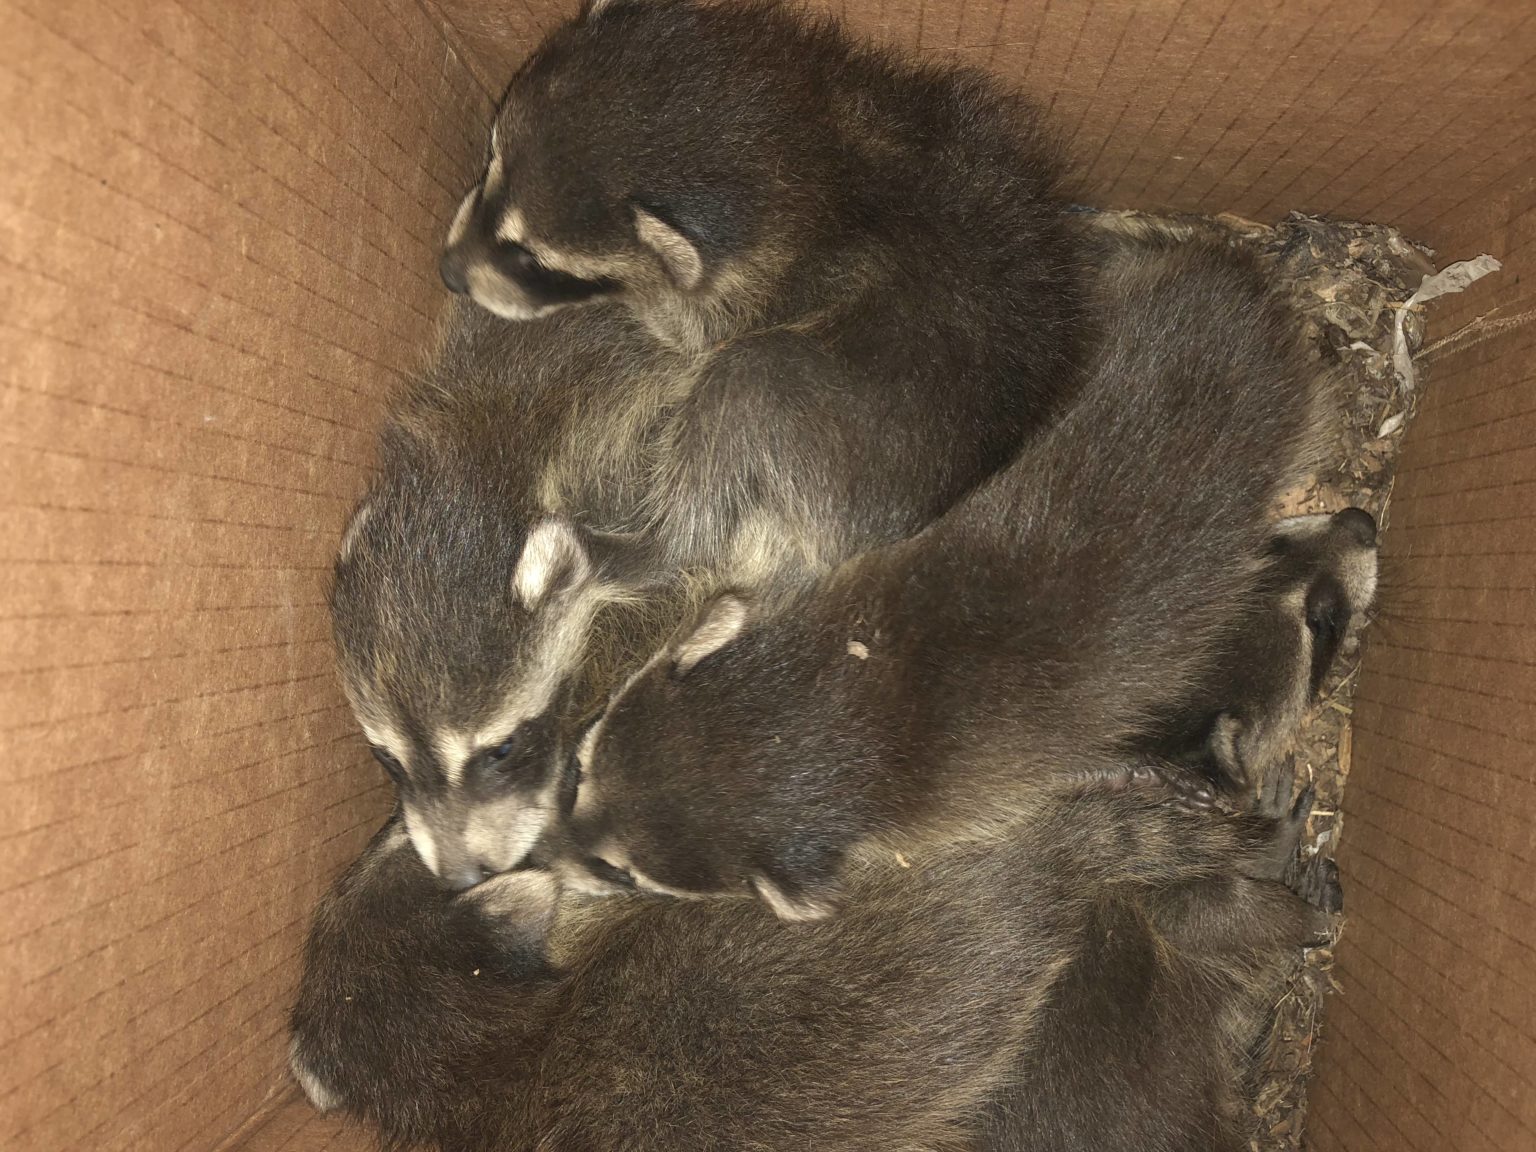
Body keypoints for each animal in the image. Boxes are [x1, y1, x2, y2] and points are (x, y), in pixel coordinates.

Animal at [562, 238, 1336, 920]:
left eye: (630, 872)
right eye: (585, 763)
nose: (556, 848)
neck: (848, 702)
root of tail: (1243, 286)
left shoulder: (993, 782)